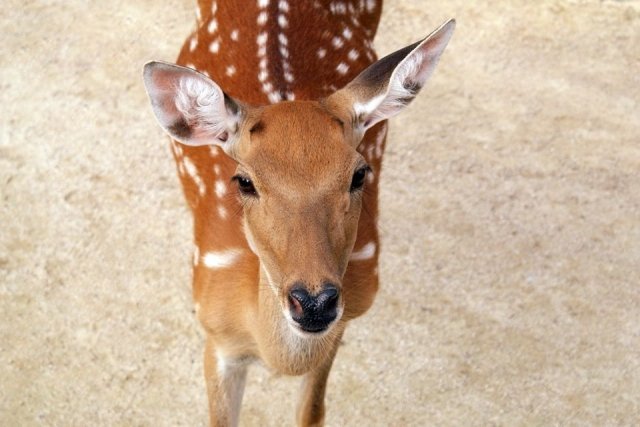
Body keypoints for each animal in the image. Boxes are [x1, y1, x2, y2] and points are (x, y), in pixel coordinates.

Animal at [145, 1, 456, 426]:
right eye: (244, 181)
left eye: (359, 174)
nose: (314, 303)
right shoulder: (216, 335)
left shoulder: (343, 323)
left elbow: (312, 412)